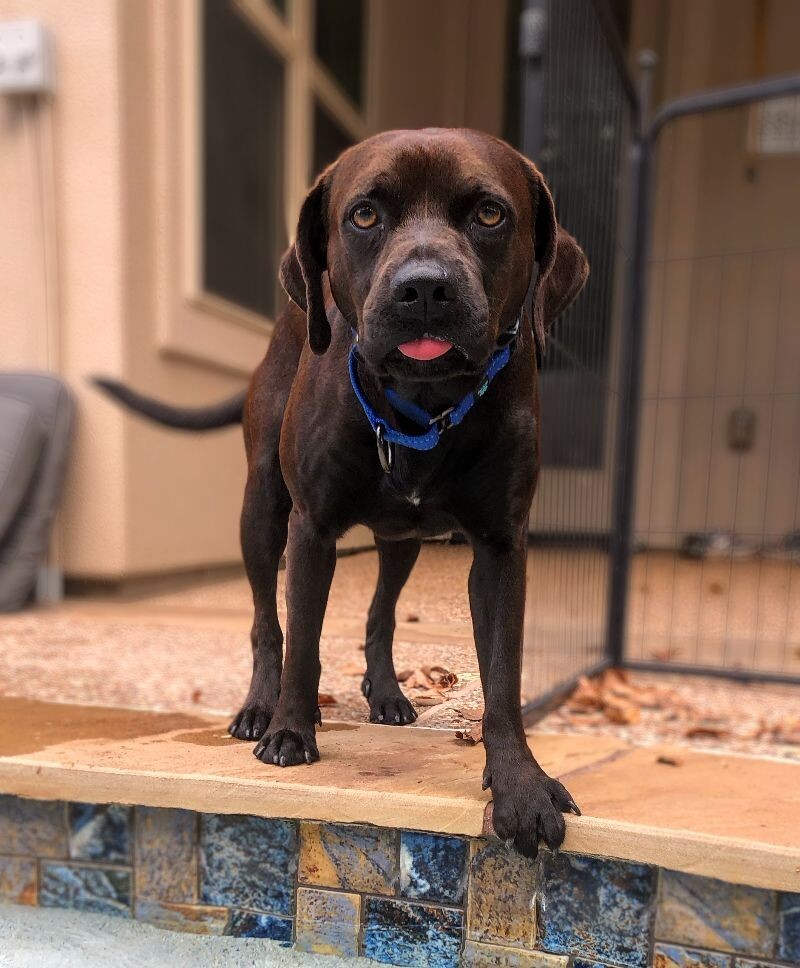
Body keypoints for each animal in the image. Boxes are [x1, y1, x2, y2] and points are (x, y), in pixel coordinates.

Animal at [97, 126, 592, 856]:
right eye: (364, 215)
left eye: (489, 213)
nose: (424, 289)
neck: (421, 405)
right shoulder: (312, 529)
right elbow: (303, 638)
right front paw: (289, 731)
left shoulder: (501, 546)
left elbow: (503, 676)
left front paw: (520, 785)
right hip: (261, 511)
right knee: (266, 623)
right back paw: (258, 705)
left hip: (403, 539)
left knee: (379, 614)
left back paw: (384, 692)